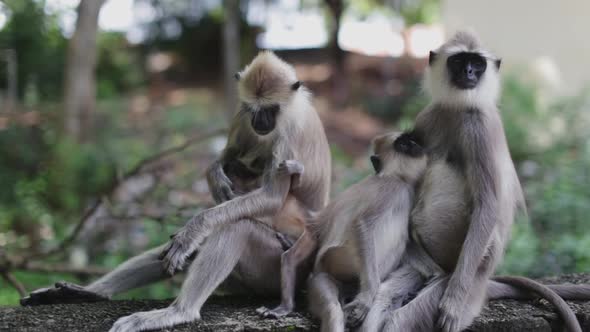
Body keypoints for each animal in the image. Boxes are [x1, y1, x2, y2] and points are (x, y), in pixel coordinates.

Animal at [20, 52, 336, 332]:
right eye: (254, 110)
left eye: (270, 110)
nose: (260, 123)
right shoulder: (242, 116)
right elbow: (228, 155)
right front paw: (215, 175)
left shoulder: (288, 134)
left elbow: (270, 198)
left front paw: (195, 228)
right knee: (181, 247)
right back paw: (92, 293)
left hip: (271, 270)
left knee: (238, 227)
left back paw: (179, 312)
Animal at [306, 132, 430, 332]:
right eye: (402, 144)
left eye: (410, 141)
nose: (415, 145)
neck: (395, 176)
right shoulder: (392, 190)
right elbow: (363, 225)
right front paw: (366, 298)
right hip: (340, 260)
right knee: (333, 309)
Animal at [370, 29, 590, 330]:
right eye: (459, 61)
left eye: (477, 63)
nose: (469, 72)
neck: (459, 109)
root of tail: (483, 284)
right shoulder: (428, 116)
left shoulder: (480, 128)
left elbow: (488, 204)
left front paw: (452, 304)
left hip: (467, 282)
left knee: (403, 319)